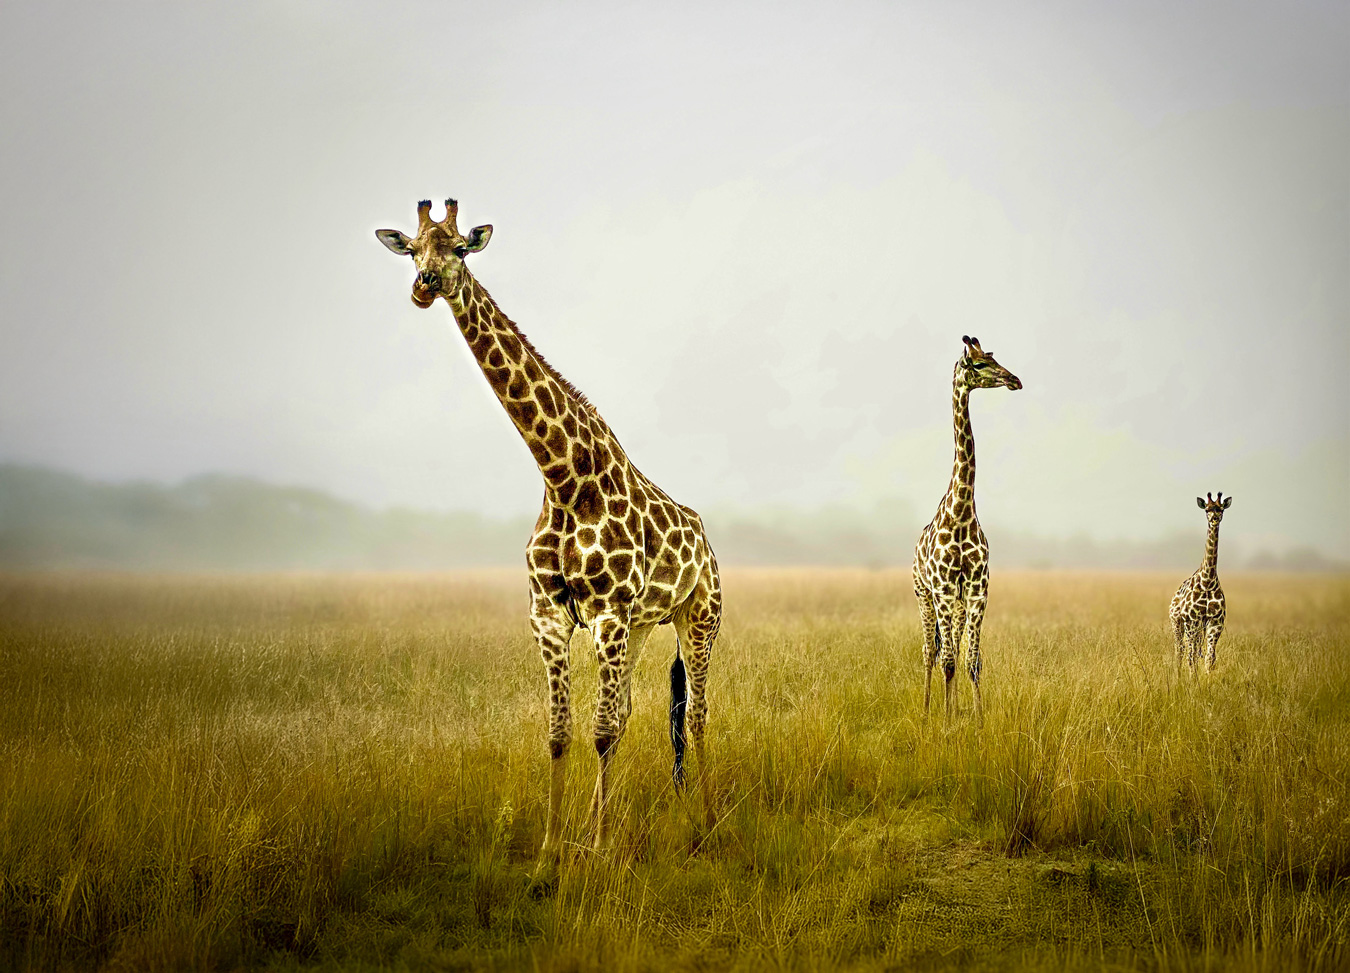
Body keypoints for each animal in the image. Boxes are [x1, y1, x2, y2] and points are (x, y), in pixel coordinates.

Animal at [376, 199, 722, 871]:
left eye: (458, 248)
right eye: (413, 250)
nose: (424, 287)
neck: (562, 475)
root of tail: (708, 544)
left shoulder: (607, 611)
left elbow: (601, 731)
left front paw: (599, 849)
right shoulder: (550, 614)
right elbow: (563, 732)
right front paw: (552, 852)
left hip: (699, 615)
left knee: (696, 713)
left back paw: (707, 819)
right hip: (645, 625)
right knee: (637, 709)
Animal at [912, 336, 1022, 725]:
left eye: (991, 356)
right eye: (977, 364)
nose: (1014, 379)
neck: (961, 512)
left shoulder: (977, 591)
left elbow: (972, 660)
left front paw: (976, 717)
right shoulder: (943, 589)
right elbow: (946, 660)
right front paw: (945, 723)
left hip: (956, 604)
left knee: (954, 648)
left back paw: (954, 704)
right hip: (924, 595)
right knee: (930, 651)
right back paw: (927, 709)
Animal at [1169, 492, 1232, 674]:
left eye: (1220, 509)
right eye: (1207, 509)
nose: (1214, 519)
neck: (1208, 581)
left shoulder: (1215, 621)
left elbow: (1210, 657)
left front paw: (1207, 678)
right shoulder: (1192, 620)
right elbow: (1190, 657)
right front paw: (1193, 679)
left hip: (1199, 627)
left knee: (1195, 651)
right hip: (1177, 622)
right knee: (1180, 650)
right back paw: (1178, 675)